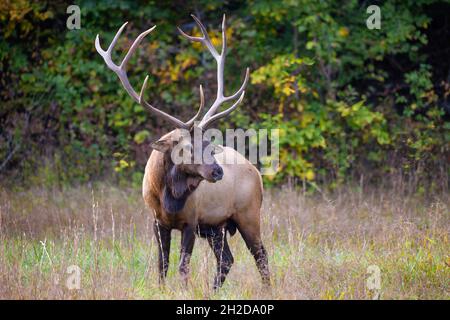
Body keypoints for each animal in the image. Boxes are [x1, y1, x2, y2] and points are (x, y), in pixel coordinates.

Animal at [95, 14, 268, 290]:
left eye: (209, 145)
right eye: (186, 147)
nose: (217, 171)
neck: (169, 198)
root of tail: (257, 173)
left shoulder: (191, 221)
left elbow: (182, 266)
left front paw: (185, 291)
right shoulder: (157, 222)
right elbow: (162, 265)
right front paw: (162, 290)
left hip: (248, 213)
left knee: (260, 255)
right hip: (215, 227)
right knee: (227, 260)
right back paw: (213, 291)